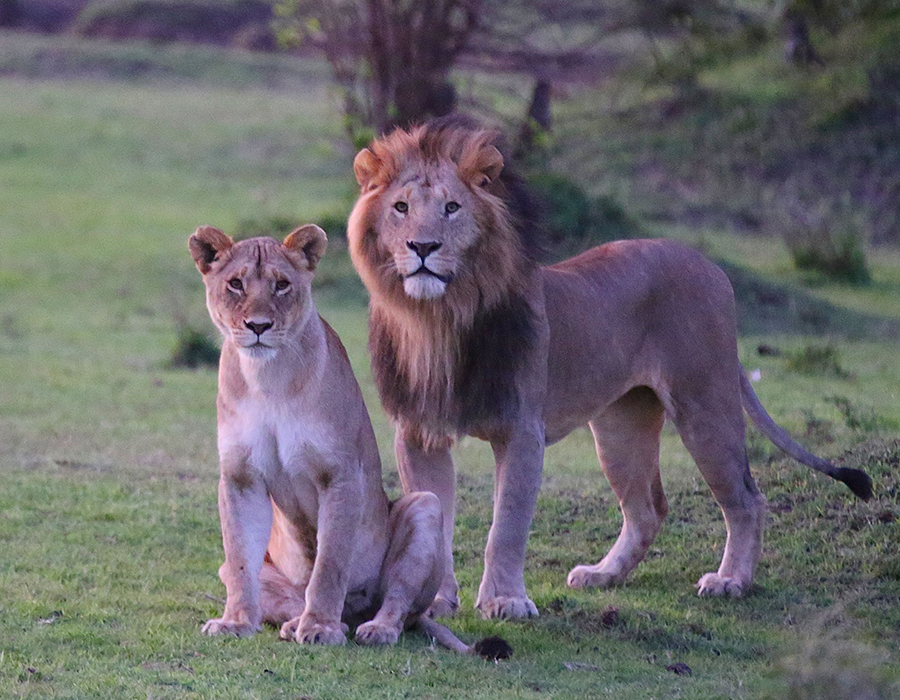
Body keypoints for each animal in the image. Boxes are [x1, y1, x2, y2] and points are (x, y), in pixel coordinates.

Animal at [189, 224, 507, 655]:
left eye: (282, 285)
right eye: (235, 284)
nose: (258, 327)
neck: (268, 379)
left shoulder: (340, 475)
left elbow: (330, 564)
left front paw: (320, 627)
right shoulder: (240, 478)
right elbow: (240, 560)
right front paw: (235, 622)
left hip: (424, 508)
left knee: (400, 606)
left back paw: (373, 628)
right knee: (274, 589)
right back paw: (295, 623)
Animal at [346, 117, 873, 619]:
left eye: (452, 207)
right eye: (400, 208)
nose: (422, 247)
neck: (437, 321)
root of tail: (708, 262)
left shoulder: (521, 430)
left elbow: (508, 525)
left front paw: (505, 601)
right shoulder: (419, 433)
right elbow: (434, 520)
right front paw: (436, 601)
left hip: (705, 403)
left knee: (745, 497)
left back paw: (731, 582)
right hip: (621, 427)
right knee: (647, 509)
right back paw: (604, 575)